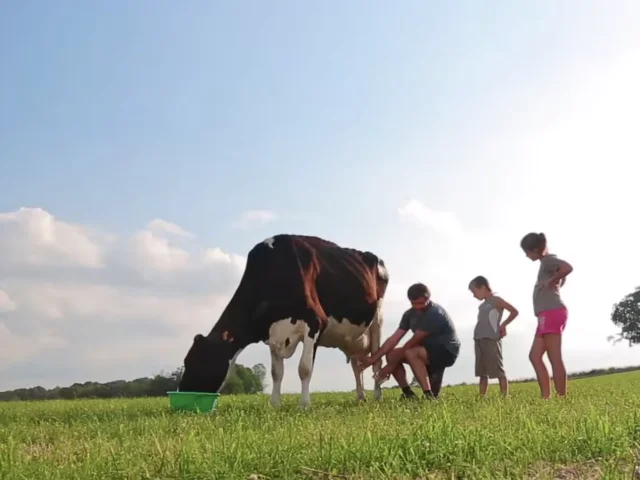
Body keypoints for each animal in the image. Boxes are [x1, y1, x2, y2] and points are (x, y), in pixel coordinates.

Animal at [178, 234, 392, 406]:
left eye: (197, 361)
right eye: (186, 361)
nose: (181, 392)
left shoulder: (315, 323)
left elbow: (304, 369)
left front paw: (304, 405)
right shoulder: (273, 333)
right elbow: (276, 373)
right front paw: (274, 404)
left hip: (377, 321)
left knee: (377, 360)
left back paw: (377, 396)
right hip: (353, 337)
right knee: (357, 365)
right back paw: (360, 396)